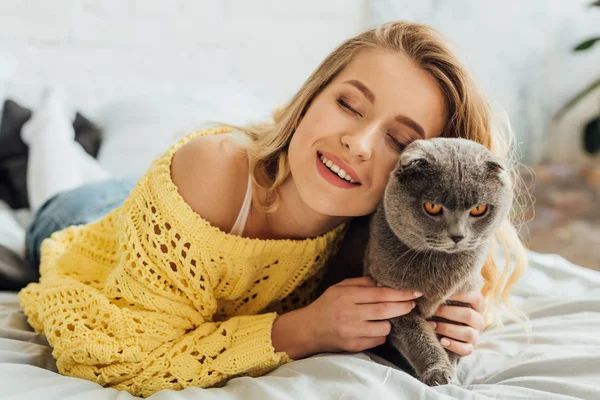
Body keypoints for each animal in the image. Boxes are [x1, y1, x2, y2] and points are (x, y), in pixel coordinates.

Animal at [366, 137, 510, 384]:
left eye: (479, 209)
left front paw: (453, 375)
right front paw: (439, 373)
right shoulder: (393, 301)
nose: (457, 236)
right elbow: (418, 335)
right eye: (432, 207)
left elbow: (450, 341)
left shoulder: (462, 296)